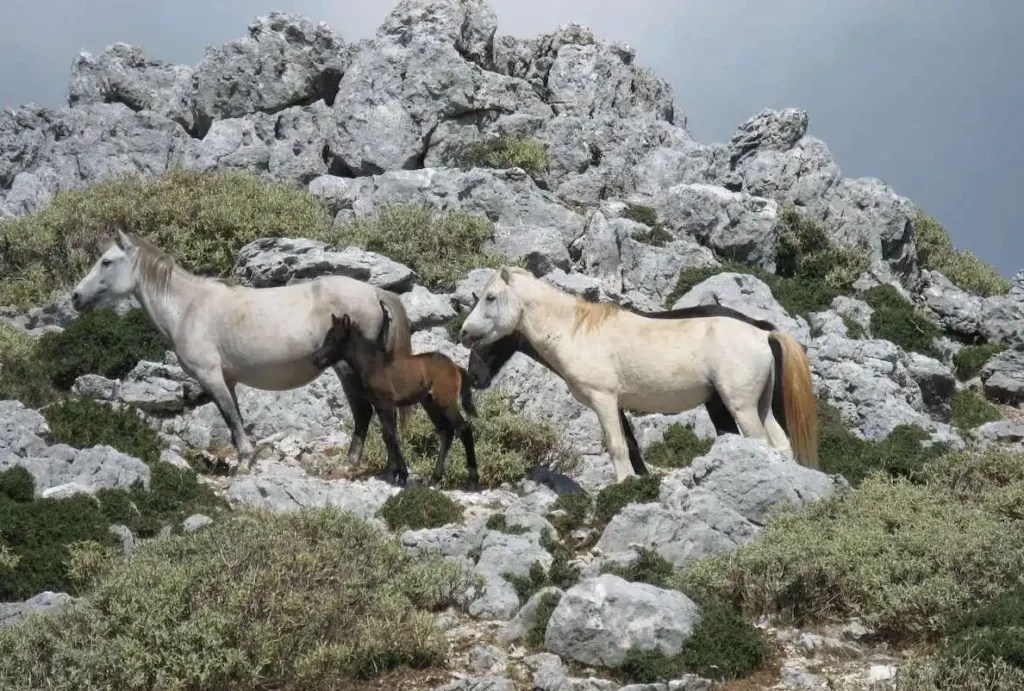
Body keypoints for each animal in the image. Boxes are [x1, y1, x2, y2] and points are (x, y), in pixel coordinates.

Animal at [70, 228, 414, 476]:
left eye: (106, 261)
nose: (76, 297)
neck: (189, 308)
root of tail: (374, 291)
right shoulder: (229, 380)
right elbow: (236, 416)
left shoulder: (211, 377)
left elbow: (231, 420)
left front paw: (244, 463)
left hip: (348, 369)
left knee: (365, 412)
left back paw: (353, 464)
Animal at [312, 305, 480, 489]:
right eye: (327, 336)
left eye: (336, 338)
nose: (317, 359)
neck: (373, 364)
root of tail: (456, 367)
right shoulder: (379, 406)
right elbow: (389, 436)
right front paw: (398, 474)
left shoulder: (386, 403)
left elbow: (389, 435)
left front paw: (401, 475)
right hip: (430, 404)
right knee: (446, 433)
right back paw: (434, 479)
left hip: (445, 402)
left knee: (463, 429)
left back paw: (473, 480)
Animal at [458, 266, 819, 483]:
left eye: (490, 297)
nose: (463, 333)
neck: (577, 331)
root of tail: (762, 333)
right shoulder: (616, 404)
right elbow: (629, 443)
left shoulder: (604, 399)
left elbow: (616, 445)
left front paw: (622, 484)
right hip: (761, 405)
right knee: (779, 443)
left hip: (740, 406)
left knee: (760, 443)